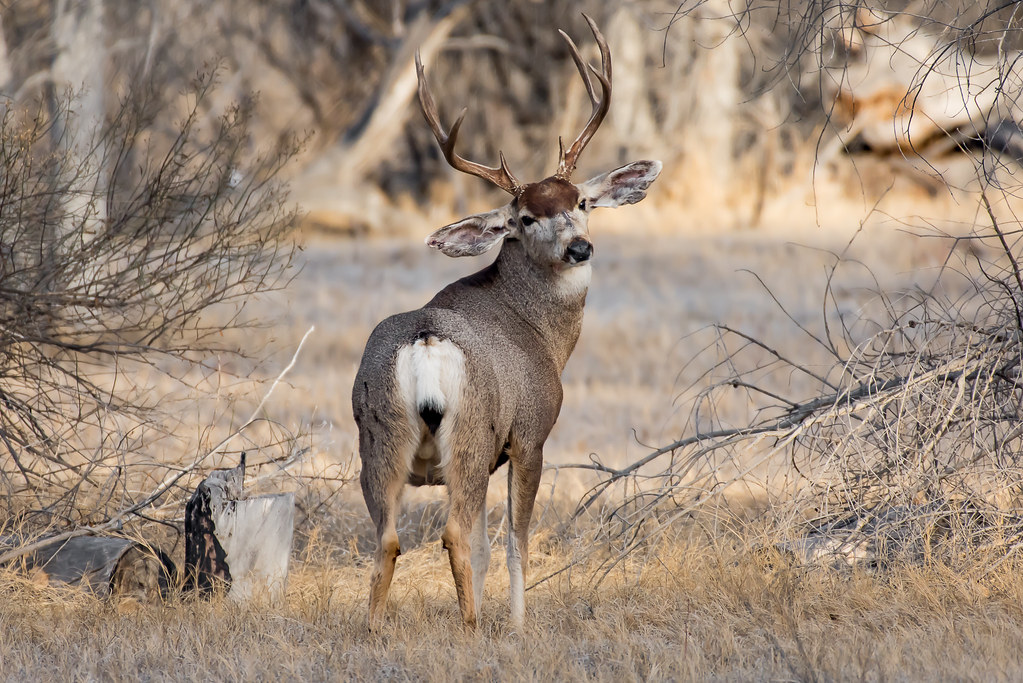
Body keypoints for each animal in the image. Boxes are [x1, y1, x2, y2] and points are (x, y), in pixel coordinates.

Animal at [352, 14, 661, 631]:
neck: (542, 334)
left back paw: (374, 629)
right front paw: (518, 625)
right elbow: (515, 541)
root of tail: (425, 342)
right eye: (525, 218)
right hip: (472, 430)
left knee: (390, 538)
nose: (579, 248)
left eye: (581, 202)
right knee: (450, 533)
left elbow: (486, 548)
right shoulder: (530, 434)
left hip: (377, 434)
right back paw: (471, 627)